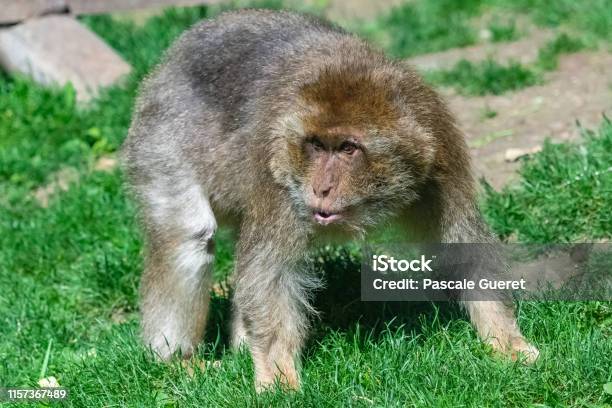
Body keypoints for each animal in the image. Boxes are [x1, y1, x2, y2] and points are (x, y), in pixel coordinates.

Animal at [123, 9, 540, 392]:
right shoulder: (277, 169)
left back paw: (241, 347)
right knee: (187, 237)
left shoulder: (440, 153)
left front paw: (506, 341)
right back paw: (175, 360)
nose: (321, 188)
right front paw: (277, 374)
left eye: (347, 148)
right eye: (316, 146)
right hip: (160, 135)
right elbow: (272, 273)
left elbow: (464, 244)